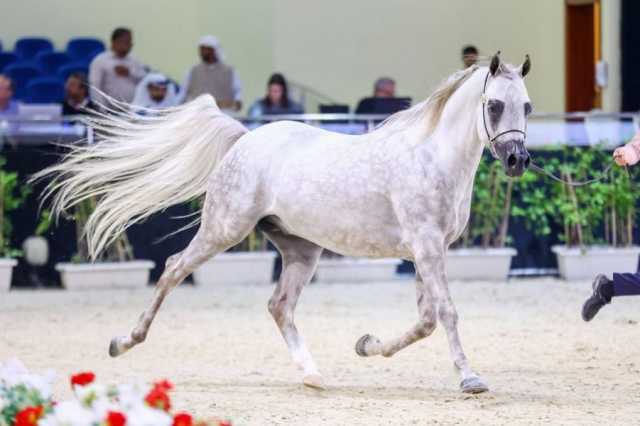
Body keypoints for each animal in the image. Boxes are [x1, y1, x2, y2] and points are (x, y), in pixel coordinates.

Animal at [37, 52, 532, 392]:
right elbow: (445, 313)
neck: (432, 156)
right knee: (174, 269)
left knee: (279, 305)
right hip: (224, 229)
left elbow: (427, 320)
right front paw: (470, 378)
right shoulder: (426, 248)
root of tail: (245, 137)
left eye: (526, 106)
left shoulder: (428, 251)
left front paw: (367, 345)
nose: (517, 160)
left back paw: (312, 374)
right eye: (493, 105)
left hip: (301, 249)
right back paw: (124, 341)